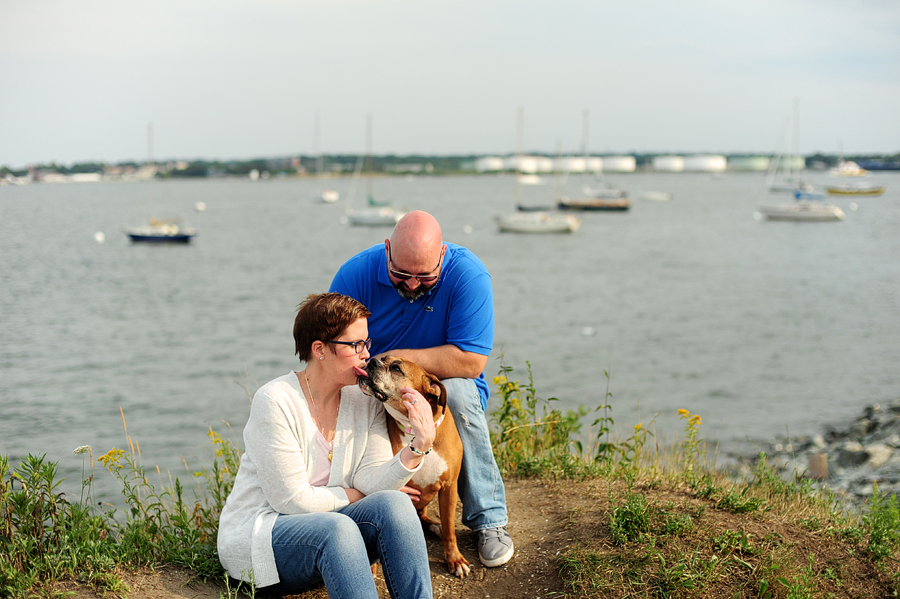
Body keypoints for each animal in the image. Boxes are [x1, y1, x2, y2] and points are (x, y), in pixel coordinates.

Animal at [358, 356, 472, 576]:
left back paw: (435, 526)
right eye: (383, 358)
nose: (372, 360)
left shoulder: (449, 487)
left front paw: (455, 559)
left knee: (425, 516)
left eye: (396, 368)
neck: (416, 432)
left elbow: (450, 528)